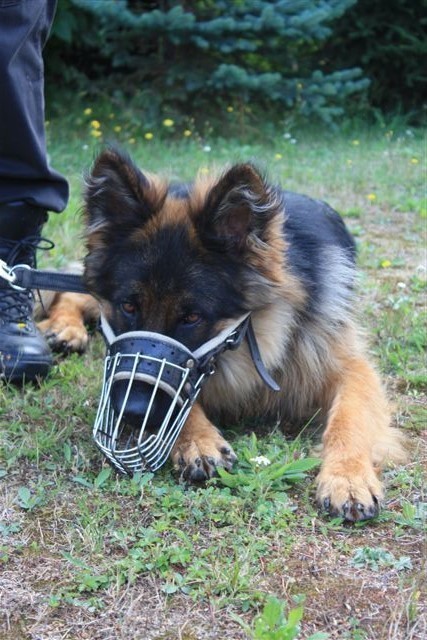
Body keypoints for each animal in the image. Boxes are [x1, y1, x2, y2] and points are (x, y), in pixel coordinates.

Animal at [37, 149, 408, 520]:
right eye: (128, 306)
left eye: (192, 317)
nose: (131, 412)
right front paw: (199, 440)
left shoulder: (347, 363)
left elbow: (350, 417)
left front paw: (348, 477)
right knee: (68, 290)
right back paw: (63, 328)